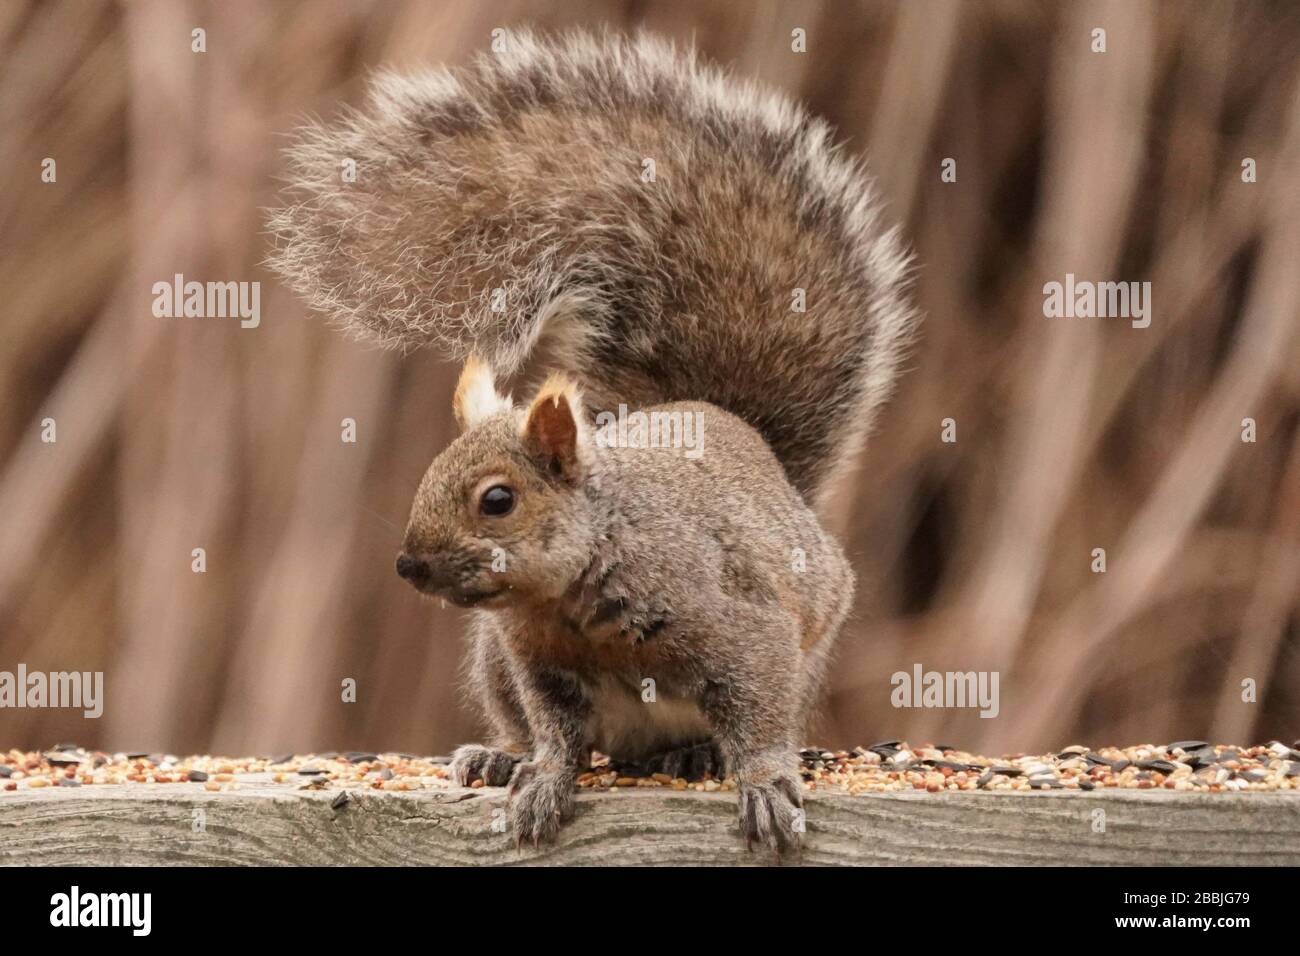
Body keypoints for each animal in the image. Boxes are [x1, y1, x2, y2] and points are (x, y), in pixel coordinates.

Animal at [263, 29, 915, 853]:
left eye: (498, 500)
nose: (409, 565)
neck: (567, 600)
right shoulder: (534, 663)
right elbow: (556, 734)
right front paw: (540, 780)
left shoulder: (742, 623)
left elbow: (760, 709)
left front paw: (765, 787)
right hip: (493, 665)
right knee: (537, 729)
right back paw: (499, 758)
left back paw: (693, 755)